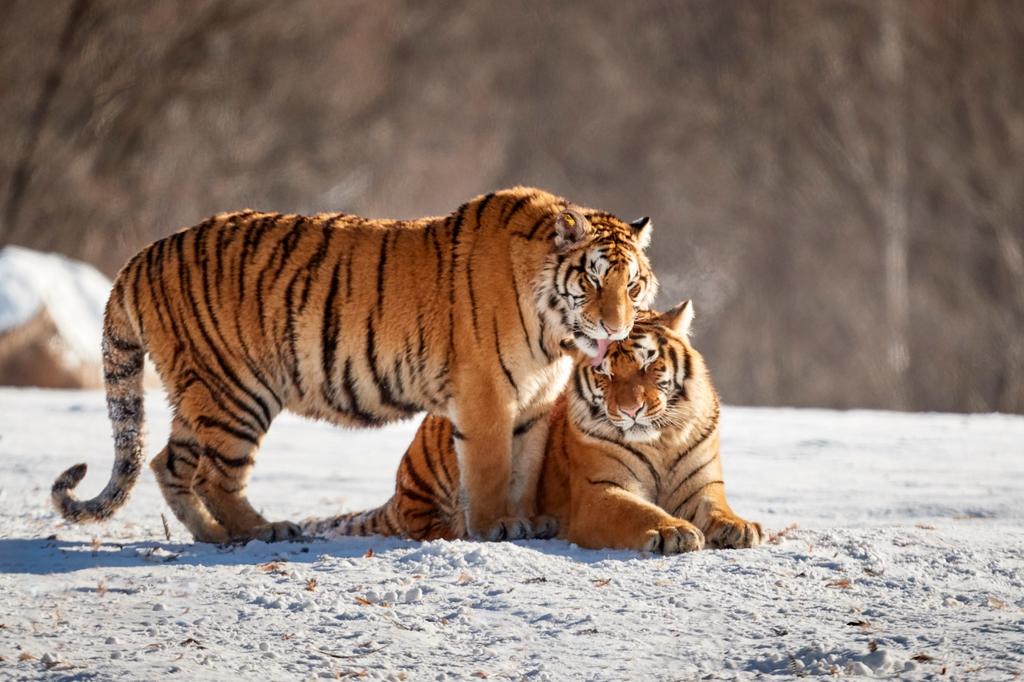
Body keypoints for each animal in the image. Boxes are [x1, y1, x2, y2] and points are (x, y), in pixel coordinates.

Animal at [49, 186, 655, 540]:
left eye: (633, 284)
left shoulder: (532, 404)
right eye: (594, 280)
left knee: (166, 464)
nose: (617, 326)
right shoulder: (486, 396)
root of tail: (141, 256)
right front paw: (495, 527)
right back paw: (268, 530)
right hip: (236, 391)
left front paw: (529, 520)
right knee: (212, 475)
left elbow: (524, 472)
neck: (555, 336)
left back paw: (218, 536)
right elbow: (488, 472)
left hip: (199, 393)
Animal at [303, 303, 761, 552]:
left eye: (649, 365)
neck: (660, 441)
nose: (630, 411)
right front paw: (674, 531)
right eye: (605, 374)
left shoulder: (703, 485)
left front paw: (740, 527)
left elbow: (719, 509)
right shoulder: (600, 492)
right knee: (434, 523)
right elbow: (638, 511)